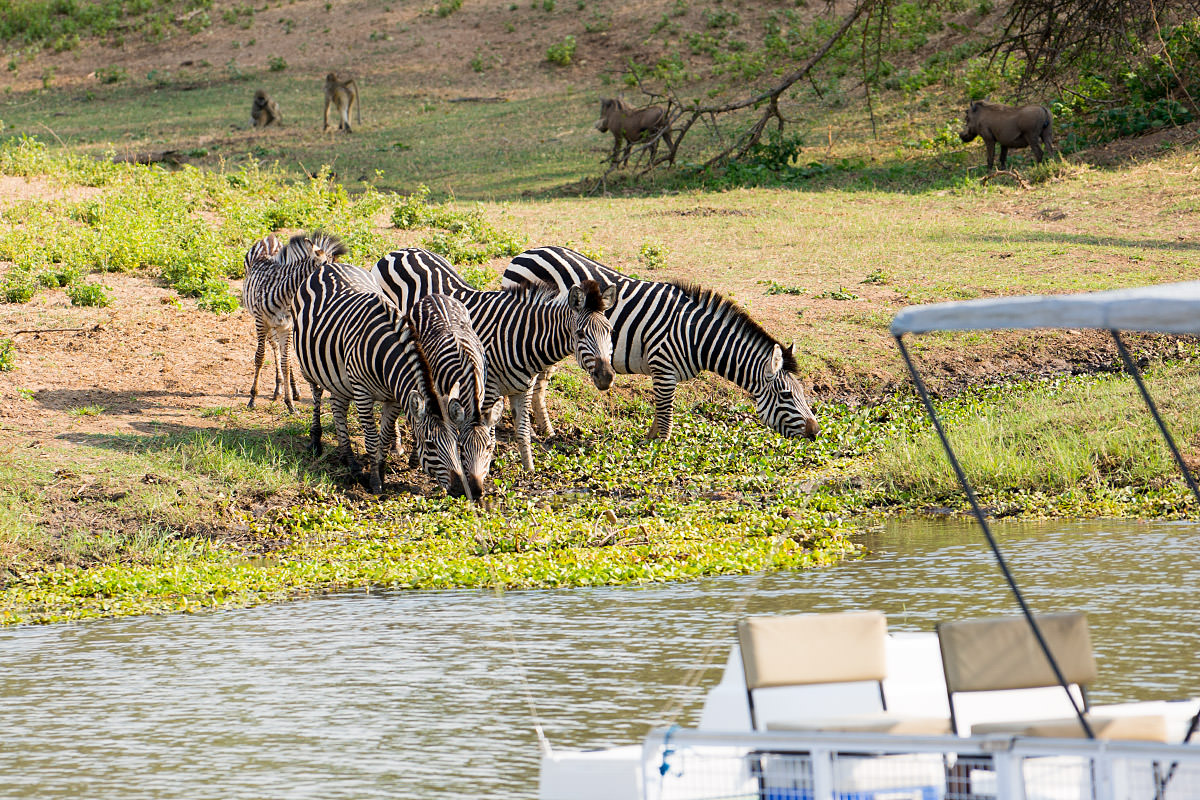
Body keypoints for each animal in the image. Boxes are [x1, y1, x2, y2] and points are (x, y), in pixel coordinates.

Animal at [238, 227, 343, 410]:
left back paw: (292, 390)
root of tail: (269, 239)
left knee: (281, 351)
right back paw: (278, 387)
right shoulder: (261, 321)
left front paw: (289, 403)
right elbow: (260, 357)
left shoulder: (287, 325)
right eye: (327, 274)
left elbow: (286, 361)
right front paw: (252, 397)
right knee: (274, 347)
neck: (285, 296)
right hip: (264, 323)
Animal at [290, 255, 472, 494]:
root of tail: (330, 265)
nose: (460, 488)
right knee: (317, 396)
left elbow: (384, 438)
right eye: (430, 445)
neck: (385, 360)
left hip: (339, 376)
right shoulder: (362, 393)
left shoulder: (393, 398)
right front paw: (375, 482)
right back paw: (316, 440)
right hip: (310, 366)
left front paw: (382, 472)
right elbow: (371, 439)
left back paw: (350, 460)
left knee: (338, 408)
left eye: (458, 442)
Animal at [372, 247, 619, 472]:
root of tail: (398, 252)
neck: (522, 337)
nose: (607, 377)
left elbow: (522, 431)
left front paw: (529, 470)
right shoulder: (488, 389)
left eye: (610, 331)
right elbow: (486, 432)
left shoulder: (523, 390)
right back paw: (396, 445)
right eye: (580, 334)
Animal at [501, 245, 820, 441]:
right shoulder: (664, 368)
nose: (816, 432)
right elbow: (666, 418)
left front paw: (650, 438)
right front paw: (660, 448)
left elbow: (660, 413)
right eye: (787, 396)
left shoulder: (665, 374)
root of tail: (525, 253)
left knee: (539, 384)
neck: (696, 336)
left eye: (804, 394)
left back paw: (546, 430)